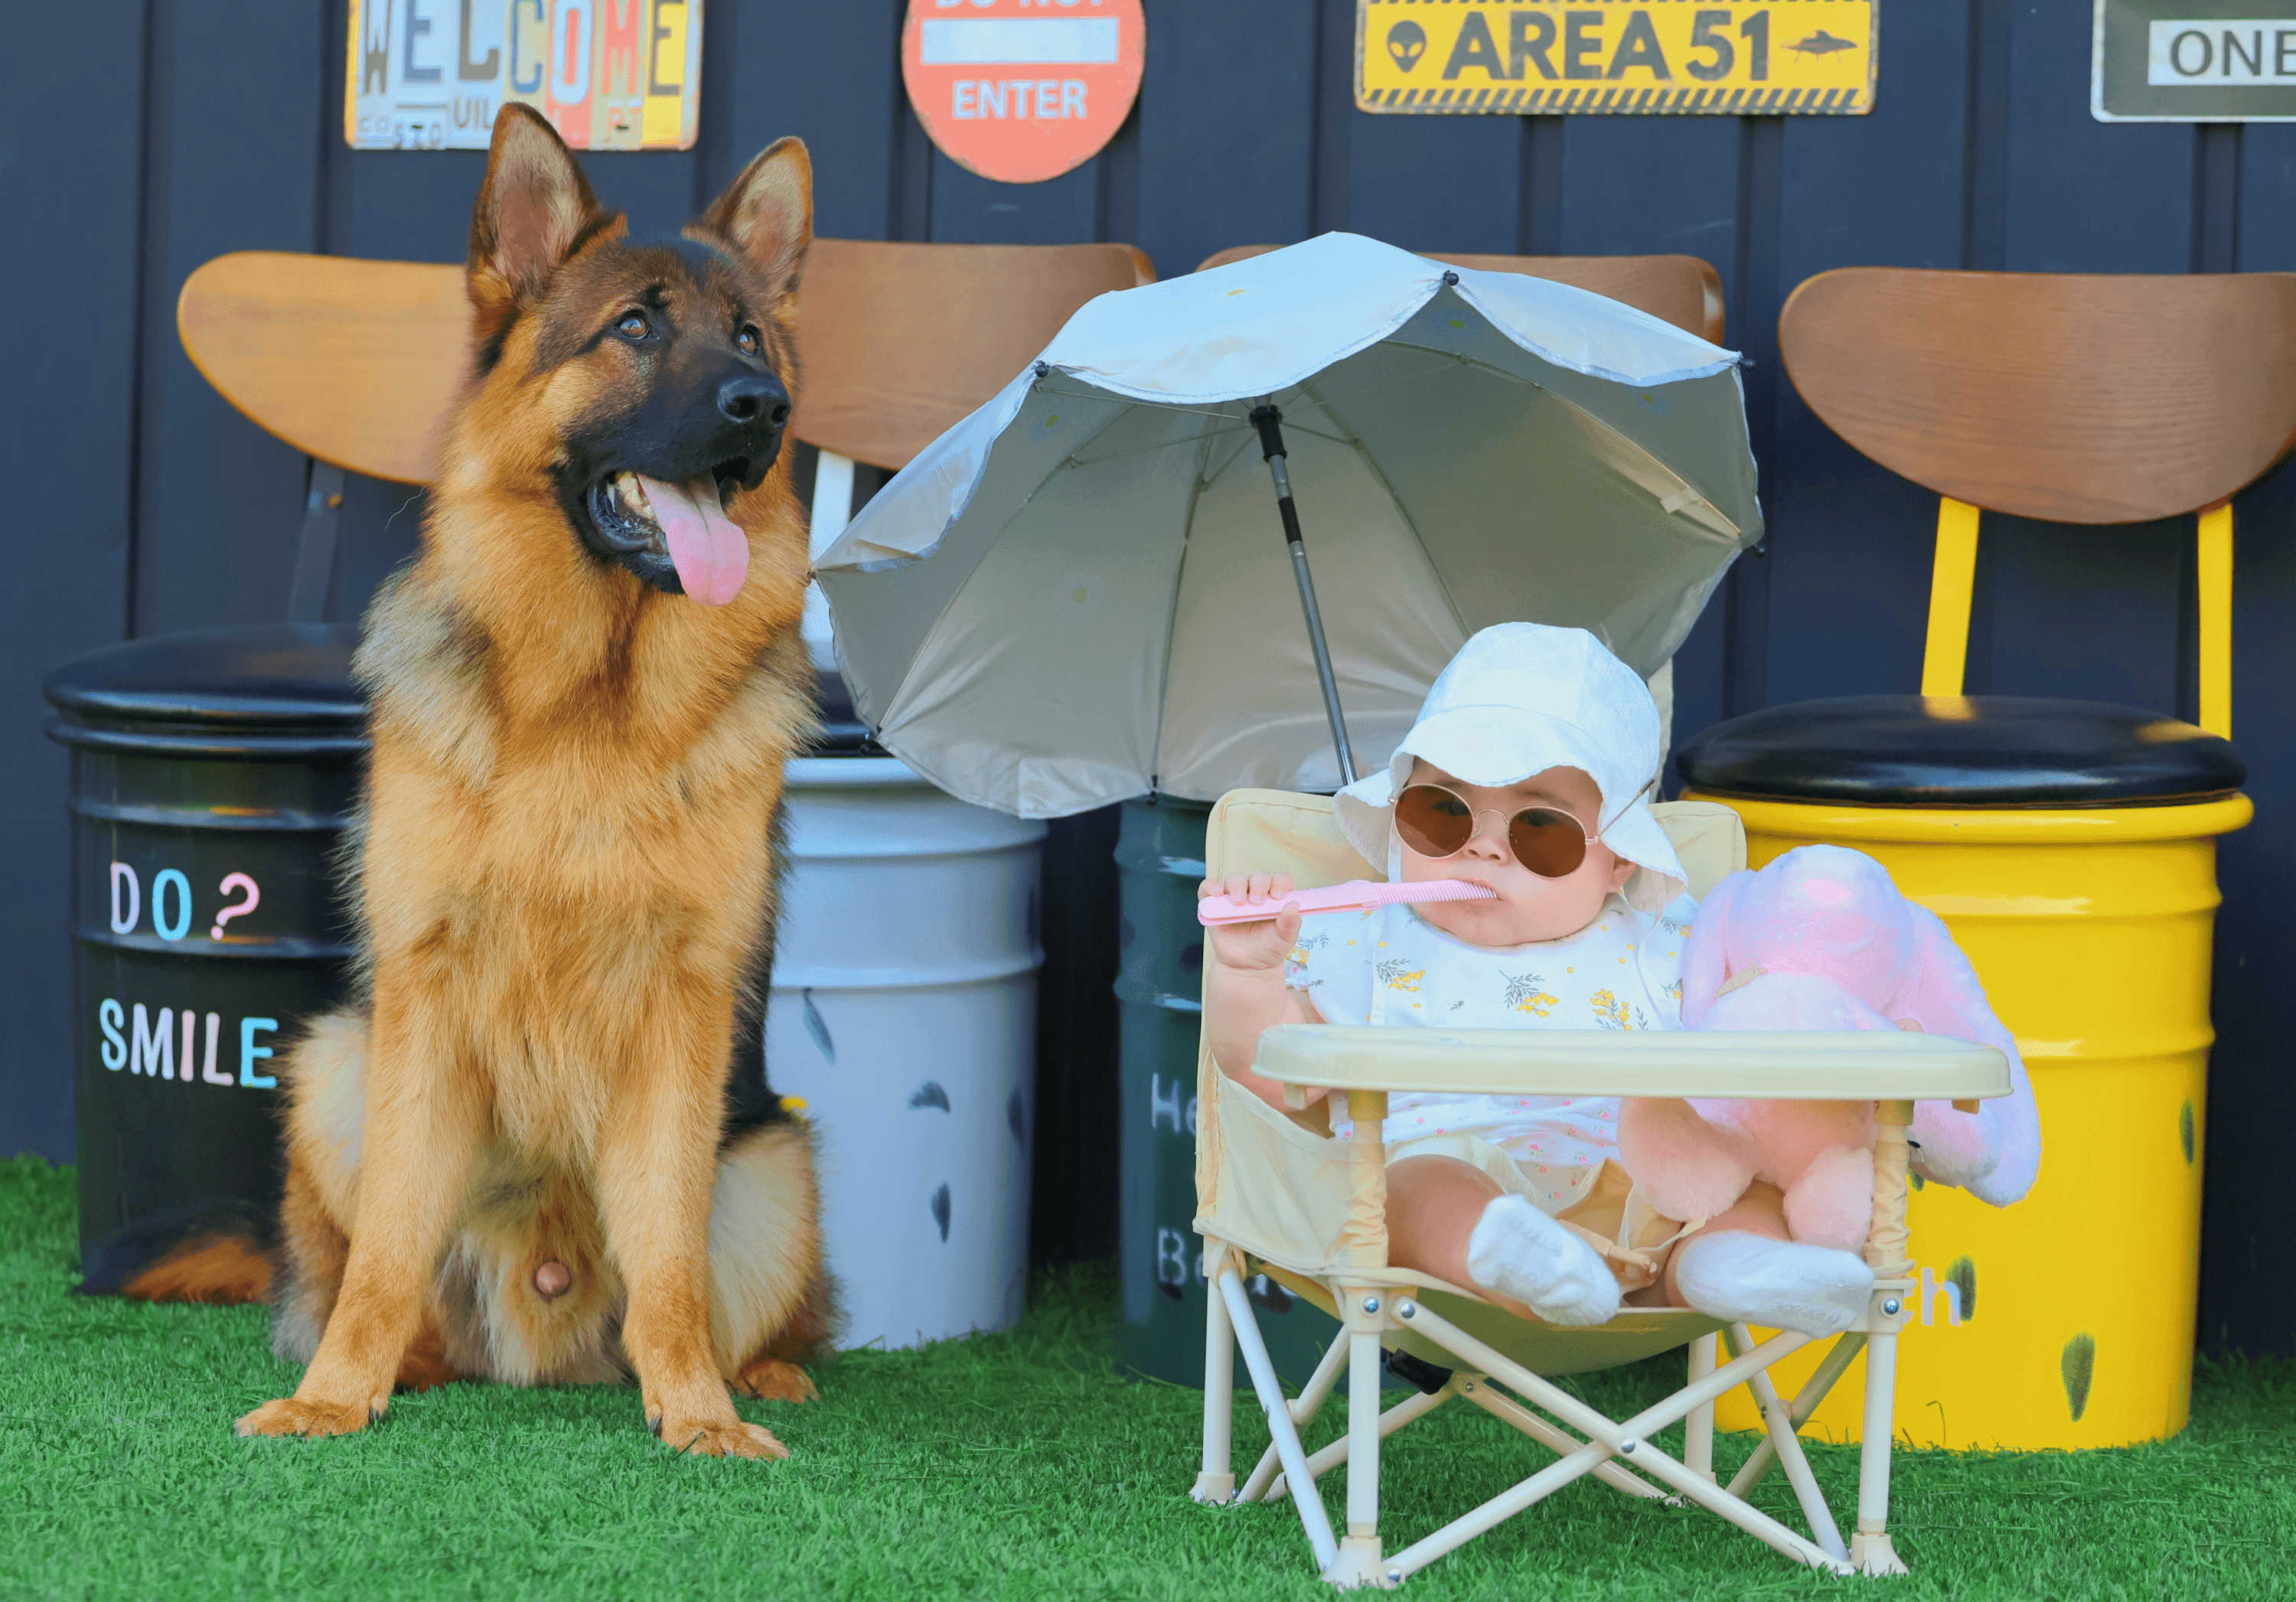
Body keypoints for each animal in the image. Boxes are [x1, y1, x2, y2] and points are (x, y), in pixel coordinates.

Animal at [121, 109, 831, 1460]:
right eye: (636, 328)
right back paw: (398, 1362)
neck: (588, 708)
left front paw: (696, 1415)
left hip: (777, 1167)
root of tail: (544, 1343)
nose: (763, 405)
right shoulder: (425, 998)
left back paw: (754, 1377)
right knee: (363, 1276)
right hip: (333, 1068)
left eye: (752, 336)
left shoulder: (686, 1019)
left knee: (740, 1302)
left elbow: (669, 1257)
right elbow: (389, 1248)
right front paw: (336, 1394)